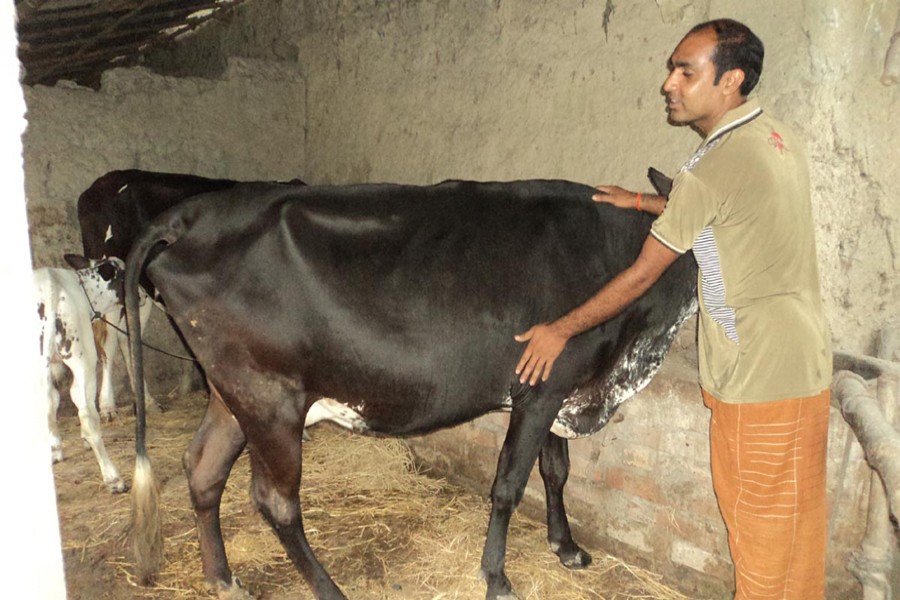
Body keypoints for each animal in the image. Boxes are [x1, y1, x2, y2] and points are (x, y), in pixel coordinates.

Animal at [125, 179, 696, 600]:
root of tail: (187, 216)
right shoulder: (541, 390)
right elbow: (509, 486)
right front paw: (497, 578)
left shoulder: (560, 388)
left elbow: (556, 472)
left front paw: (566, 547)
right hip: (270, 399)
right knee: (275, 501)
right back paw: (329, 590)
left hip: (233, 395)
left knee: (203, 469)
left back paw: (222, 579)